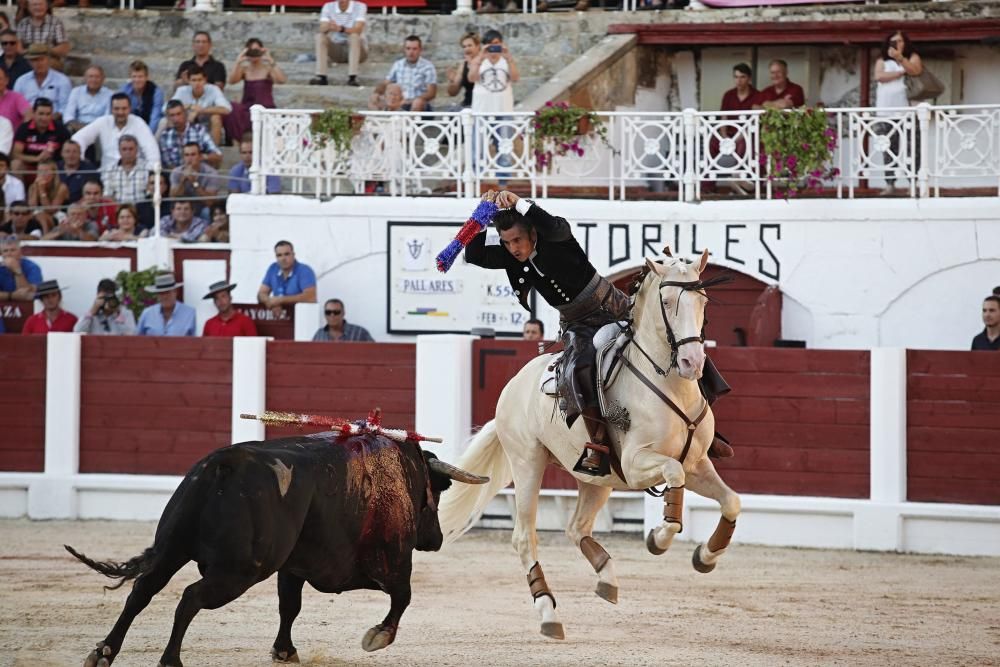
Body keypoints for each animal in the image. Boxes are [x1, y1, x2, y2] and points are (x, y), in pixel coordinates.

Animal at [64, 430, 486, 664]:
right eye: (436, 492)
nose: (436, 539)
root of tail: (222, 465)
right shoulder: (389, 562)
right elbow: (403, 596)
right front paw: (376, 638)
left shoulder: (293, 567)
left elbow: (289, 606)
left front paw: (284, 651)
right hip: (238, 572)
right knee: (190, 598)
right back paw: (170, 661)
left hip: (172, 548)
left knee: (143, 591)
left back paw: (103, 653)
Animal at [438, 248, 744, 640]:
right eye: (667, 302)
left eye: (702, 299)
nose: (692, 362)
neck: (672, 386)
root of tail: (514, 386)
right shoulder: (637, 462)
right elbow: (673, 475)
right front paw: (659, 538)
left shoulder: (698, 463)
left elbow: (731, 500)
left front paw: (704, 556)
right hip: (527, 463)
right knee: (524, 537)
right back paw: (549, 614)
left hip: (596, 477)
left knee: (577, 526)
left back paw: (607, 579)